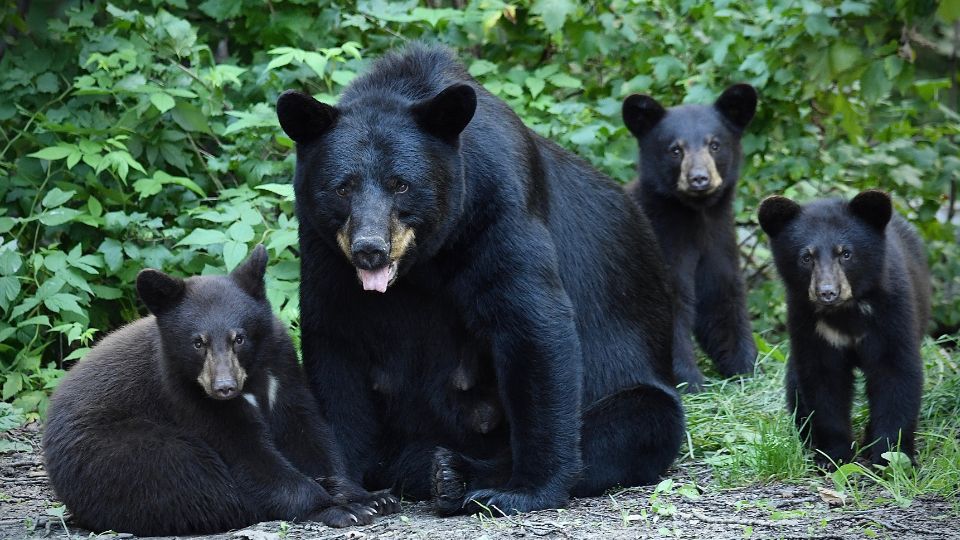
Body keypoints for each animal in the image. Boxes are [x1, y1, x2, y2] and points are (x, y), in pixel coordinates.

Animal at [43, 246, 396, 536]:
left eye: (239, 337)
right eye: (197, 342)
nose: (224, 388)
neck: (250, 380)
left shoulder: (281, 368)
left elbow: (307, 433)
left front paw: (367, 495)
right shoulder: (185, 396)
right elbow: (249, 457)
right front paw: (341, 507)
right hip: (117, 453)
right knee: (191, 481)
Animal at [274, 43, 688, 516]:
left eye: (401, 185)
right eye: (343, 187)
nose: (370, 248)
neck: (423, 260)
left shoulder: (496, 205)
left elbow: (531, 324)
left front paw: (527, 489)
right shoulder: (323, 246)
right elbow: (335, 344)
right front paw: (353, 495)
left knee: (636, 422)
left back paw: (453, 475)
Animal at [624, 83, 756, 388]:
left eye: (714, 144)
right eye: (675, 149)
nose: (699, 179)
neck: (696, 217)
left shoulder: (719, 241)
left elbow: (721, 299)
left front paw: (747, 367)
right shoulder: (662, 244)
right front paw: (691, 381)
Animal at [756, 190, 928, 464]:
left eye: (845, 253)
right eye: (806, 257)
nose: (827, 292)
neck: (845, 312)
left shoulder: (891, 313)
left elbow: (896, 373)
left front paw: (890, 456)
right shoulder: (808, 322)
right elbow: (823, 382)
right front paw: (834, 456)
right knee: (795, 385)